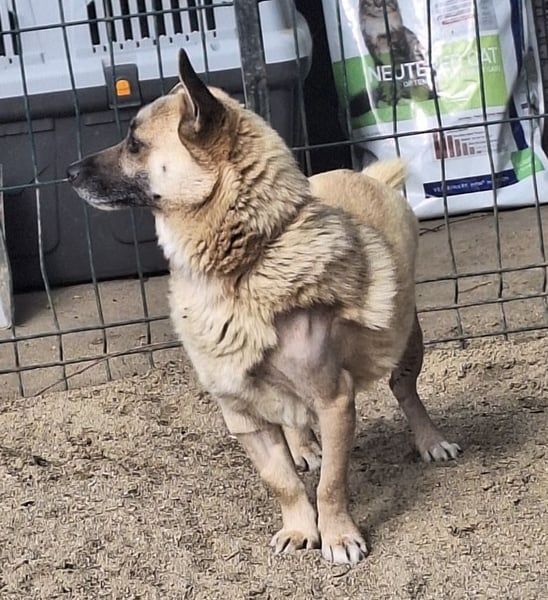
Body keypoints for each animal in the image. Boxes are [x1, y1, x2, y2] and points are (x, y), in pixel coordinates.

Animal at [67, 50, 460, 566]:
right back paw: (304, 447)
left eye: (134, 143)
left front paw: (337, 537)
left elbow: (331, 484)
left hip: (407, 341)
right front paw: (300, 528)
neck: (241, 268)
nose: (69, 172)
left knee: (406, 391)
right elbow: (283, 483)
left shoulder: (335, 401)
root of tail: (363, 176)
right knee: (294, 423)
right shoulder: (242, 413)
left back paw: (430, 441)